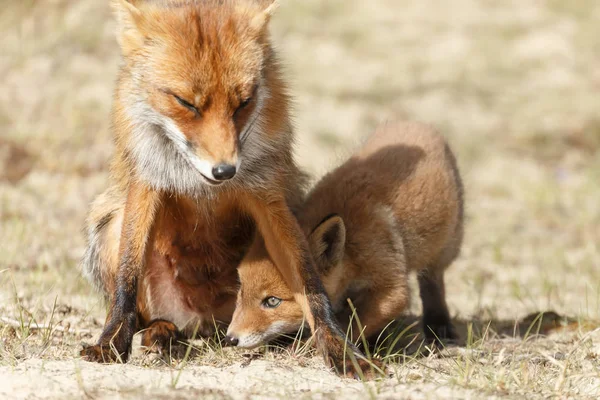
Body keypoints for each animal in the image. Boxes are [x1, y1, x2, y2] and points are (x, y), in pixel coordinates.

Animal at [79, 0, 370, 376]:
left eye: (244, 102)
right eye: (186, 102)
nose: (225, 171)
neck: (200, 185)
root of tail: (206, 324)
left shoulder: (266, 192)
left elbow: (310, 282)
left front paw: (339, 348)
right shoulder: (146, 181)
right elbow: (127, 280)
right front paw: (112, 342)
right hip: (109, 228)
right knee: (150, 313)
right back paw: (160, 332)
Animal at [225, 121, 464, 346]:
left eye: (272, 301)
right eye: (241, 291)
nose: (230, 339)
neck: (350, 248)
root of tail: (417, 123)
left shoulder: (391, 286)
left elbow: (352, 323)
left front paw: (314, 345)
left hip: (445, 248)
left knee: (433, 280)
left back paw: (438, 324)